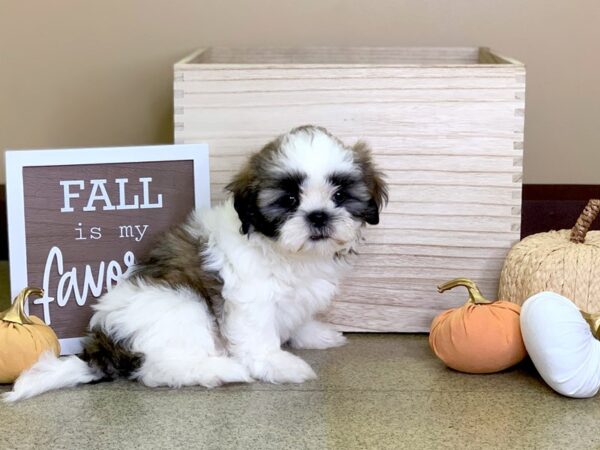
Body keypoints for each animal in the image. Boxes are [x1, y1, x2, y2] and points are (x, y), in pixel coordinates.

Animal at [4, 125, 386, 400]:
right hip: (182, 304)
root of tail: (106, 343)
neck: (286, 253)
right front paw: (278, 364)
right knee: (157, 370)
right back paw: (220, 371)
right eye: (290, 199)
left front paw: (313, 334)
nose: (318, 216)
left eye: (340, 195)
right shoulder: (251, 298)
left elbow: (299, 316)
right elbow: (259, 336)